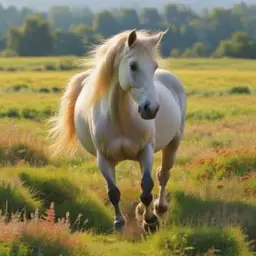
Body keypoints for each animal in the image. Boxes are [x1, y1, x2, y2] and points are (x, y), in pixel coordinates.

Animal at [48, 30, 186, 234]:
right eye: (133, 65)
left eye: (154, 66)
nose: (151, 109)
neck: (120, 118)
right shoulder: (104, 159)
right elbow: (113, 192)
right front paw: (119, 222)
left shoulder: (146, 150)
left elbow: (147, 187)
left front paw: (150, 221)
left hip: (173, 143)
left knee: (163, 174)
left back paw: (159, 208)